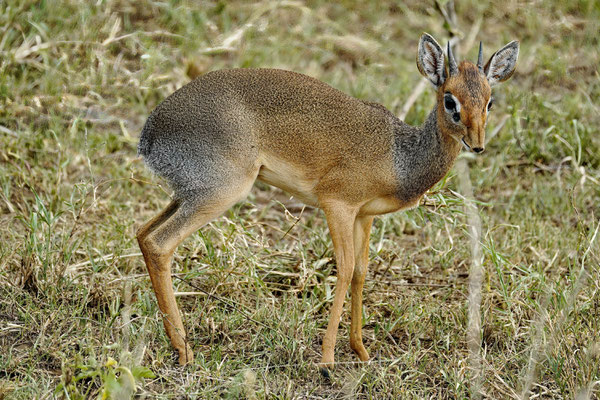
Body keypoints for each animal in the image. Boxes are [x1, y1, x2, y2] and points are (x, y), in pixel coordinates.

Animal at [135, 32, 516, 374]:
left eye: (489, 101)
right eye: (450, 100)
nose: (477, 144)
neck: (399, 156)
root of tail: (149, 133)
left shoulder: (365, 215)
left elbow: (361, 272)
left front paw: (361, 351)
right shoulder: (337, 205)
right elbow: (344, 270)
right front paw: (327, 361)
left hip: (189, 194)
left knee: (143, 233)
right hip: (221, 193)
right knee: (160, 243)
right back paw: (184, 351)